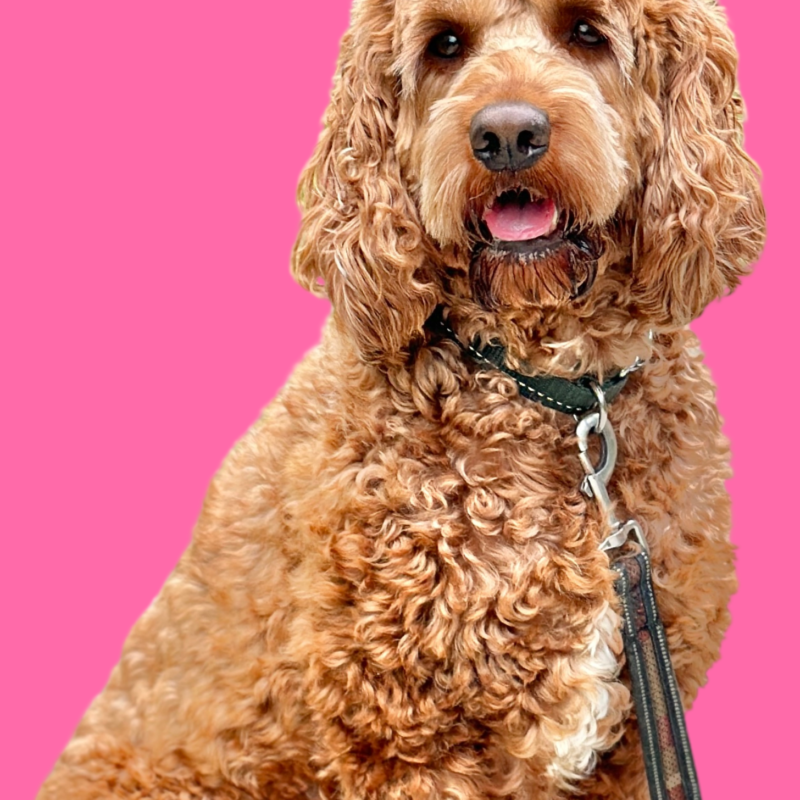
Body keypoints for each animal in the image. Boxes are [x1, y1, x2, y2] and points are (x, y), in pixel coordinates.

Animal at [38, 0, 765, 797]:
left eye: (587, 32)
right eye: (444, 44)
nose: (507, 136)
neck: (543, 388)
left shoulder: (637, 744)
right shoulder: (406, 738)